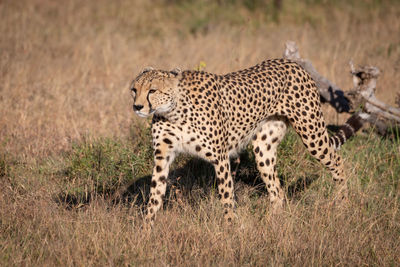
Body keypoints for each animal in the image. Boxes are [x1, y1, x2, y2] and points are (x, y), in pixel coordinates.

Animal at [130, 59, 360, 226]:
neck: (174, 111)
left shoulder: (220, 158)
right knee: (277, 190)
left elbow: (226, 195)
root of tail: (291, 63)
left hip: (312, 134)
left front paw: (230, 227)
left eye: (152, 90)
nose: (137, 107)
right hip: (263, 148)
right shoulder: (162, 157)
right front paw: (146, 231)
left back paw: (342, 203)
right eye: (134, 90)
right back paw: (270, 223)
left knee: (337, 160)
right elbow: (155, 195)